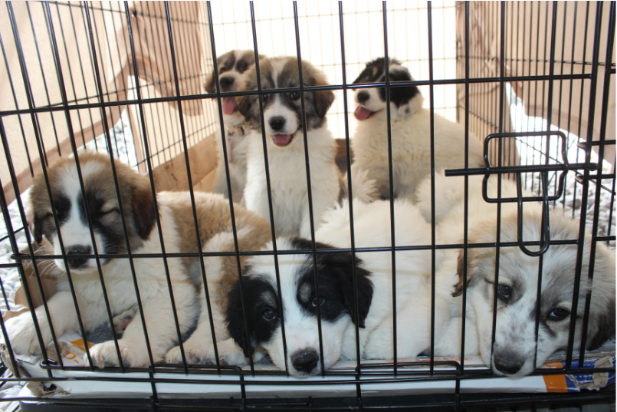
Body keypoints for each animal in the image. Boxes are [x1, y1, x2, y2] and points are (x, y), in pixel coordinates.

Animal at [4, 151, 270, 366]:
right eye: (55, 215)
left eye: (104, 213)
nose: (76, 254)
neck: (115, 262)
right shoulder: (91, 292)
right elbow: (61, 304)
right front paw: (25, 326)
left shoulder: (171, 292)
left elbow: (147, 324)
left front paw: (123, 348)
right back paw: (125, 317)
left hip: (221, 248)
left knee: (216, 316)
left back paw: (195, 349)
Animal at [236, 57, 342, 238]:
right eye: (264, 96)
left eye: (294, 95)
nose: (276, 122)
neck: (288, 150)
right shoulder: (259, 190)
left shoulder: (319, 190)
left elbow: (310, 227)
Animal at [346, 58, 486, 203]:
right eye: (368, 76)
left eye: (389, 91)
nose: (362, 95)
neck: (391, 119)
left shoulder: (374, 162)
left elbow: (355, 176)